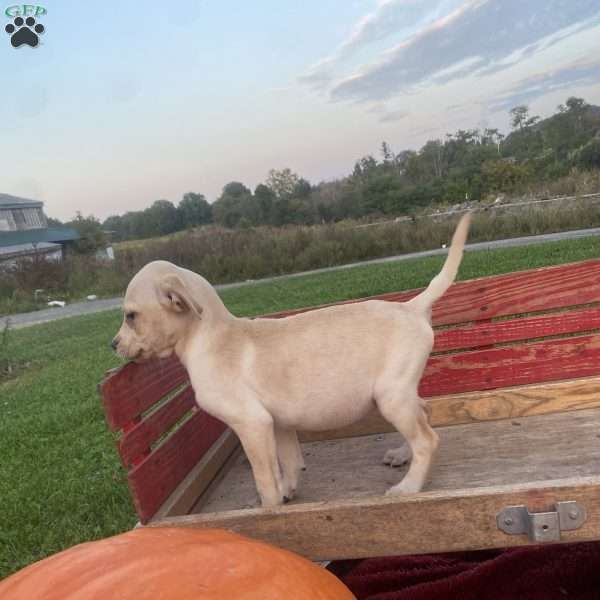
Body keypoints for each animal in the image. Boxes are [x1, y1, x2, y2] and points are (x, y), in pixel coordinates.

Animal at [111, 214, 468, 506]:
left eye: (130, 316)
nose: (113, 345)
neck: (210, 335)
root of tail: (412, 307)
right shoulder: (278, 424)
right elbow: (290, 464)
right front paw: (289, 492)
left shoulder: (252, 424)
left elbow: (265, 481)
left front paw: (267, 513)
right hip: (398, 394)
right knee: (425, 411)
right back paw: (401, 456)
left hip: (390, 397)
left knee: (427, 440)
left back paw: (408, 487)